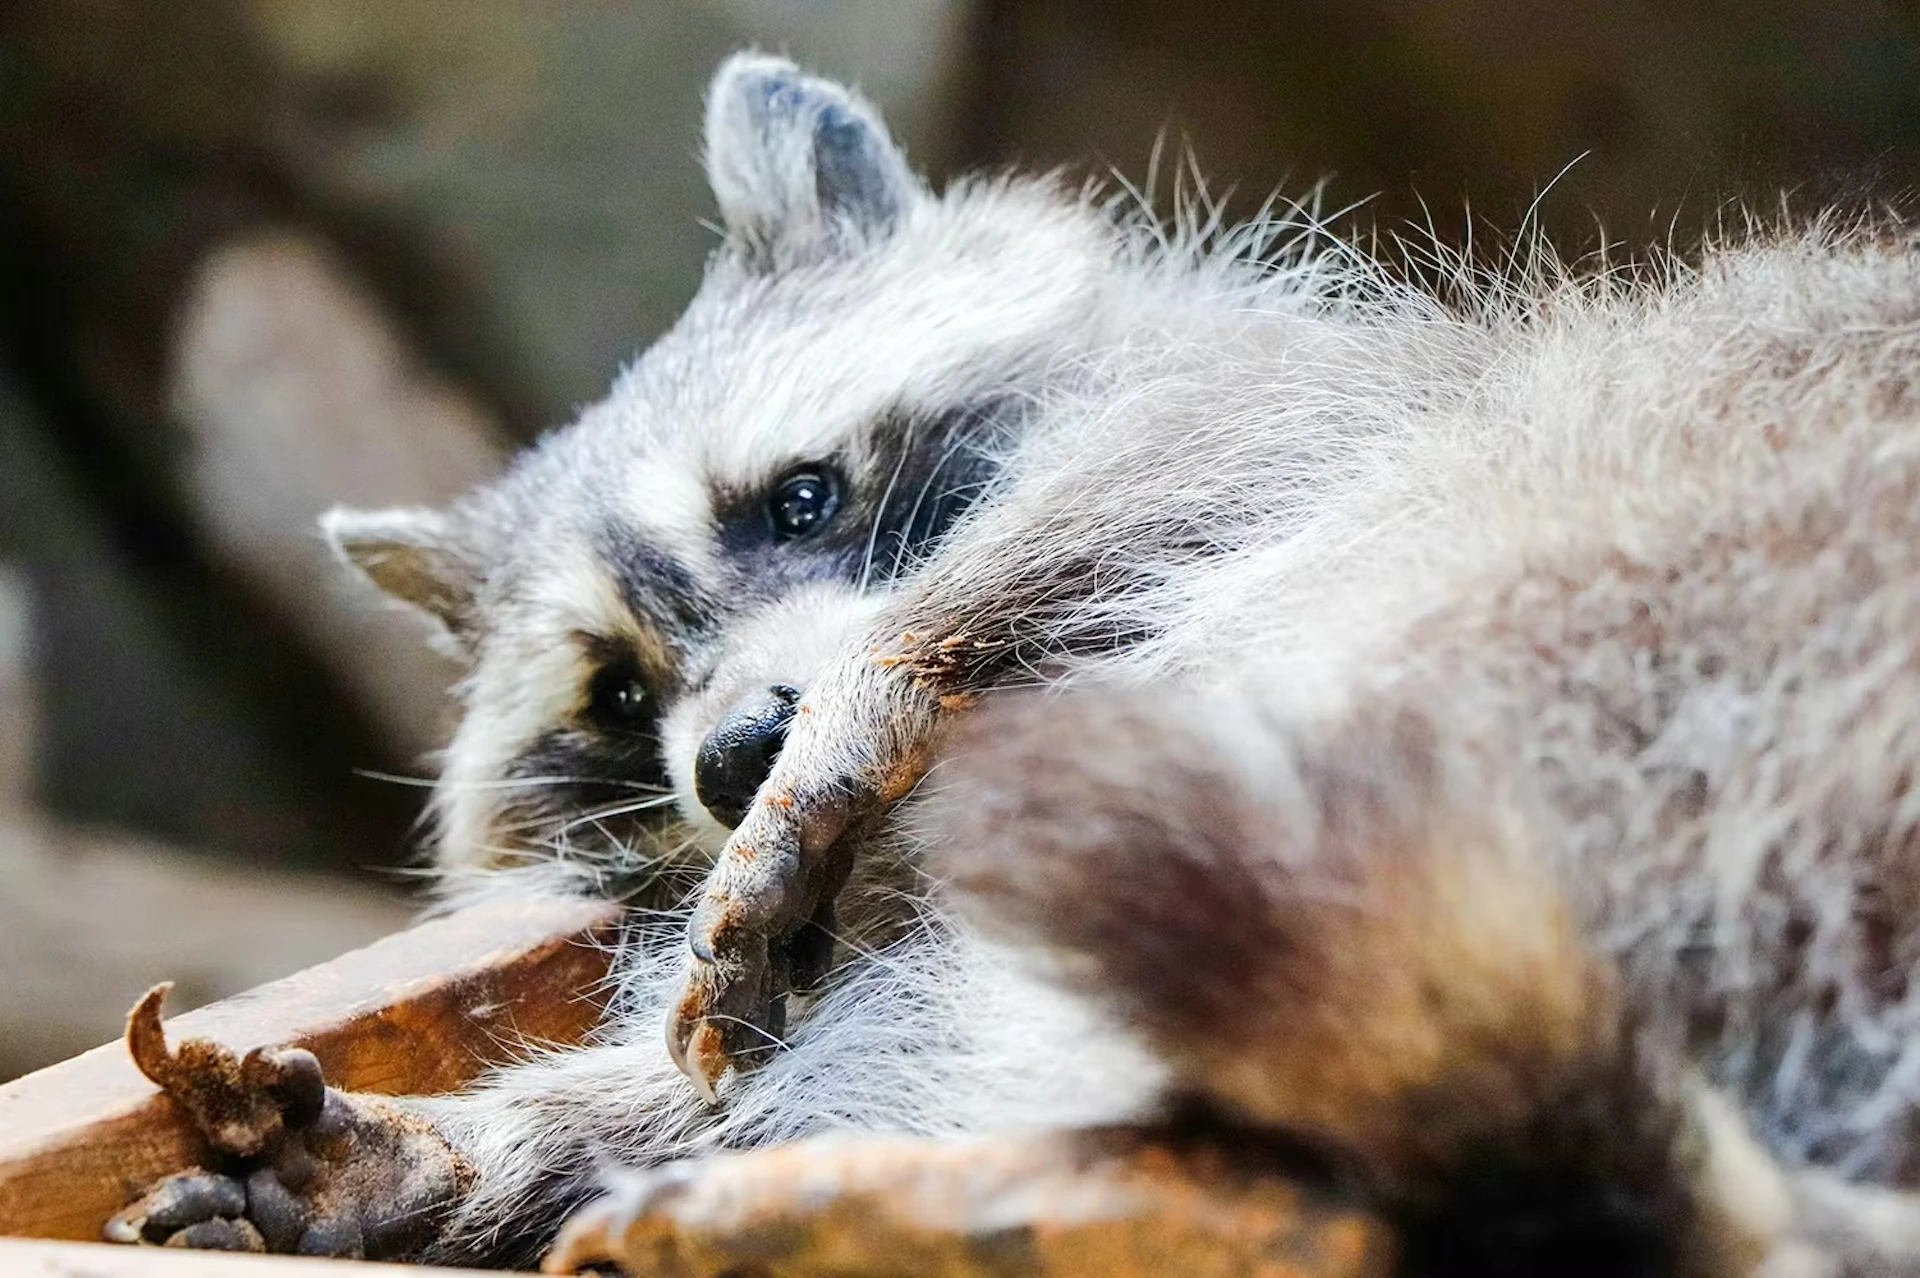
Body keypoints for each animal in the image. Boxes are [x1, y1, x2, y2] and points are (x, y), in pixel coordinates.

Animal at [106, 51, 1920, 1278]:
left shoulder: (1328, 396)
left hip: (1605, 600)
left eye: (804, 496)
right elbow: (750, 1038)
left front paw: (886, 674)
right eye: (619, 691)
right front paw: (487, 1142)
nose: (738, 754)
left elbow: (1187, 457)